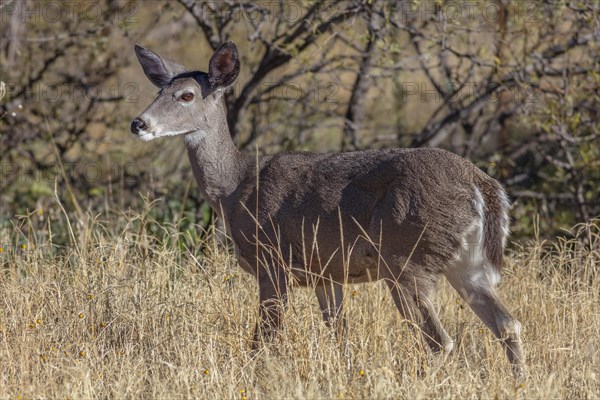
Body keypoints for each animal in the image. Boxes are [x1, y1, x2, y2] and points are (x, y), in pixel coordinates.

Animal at [131, 41, 524, 378]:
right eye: (157, 92)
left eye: (186, 95)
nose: (139, 123)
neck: (234, 188)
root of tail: (481, 185)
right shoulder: (327, 272)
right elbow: (339, 334)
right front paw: (349, 375)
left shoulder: (272, 261)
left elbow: (265, 339)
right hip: (465, 263)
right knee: (508, 324)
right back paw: (519, 381)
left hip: (406, 257)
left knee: (439, 340)